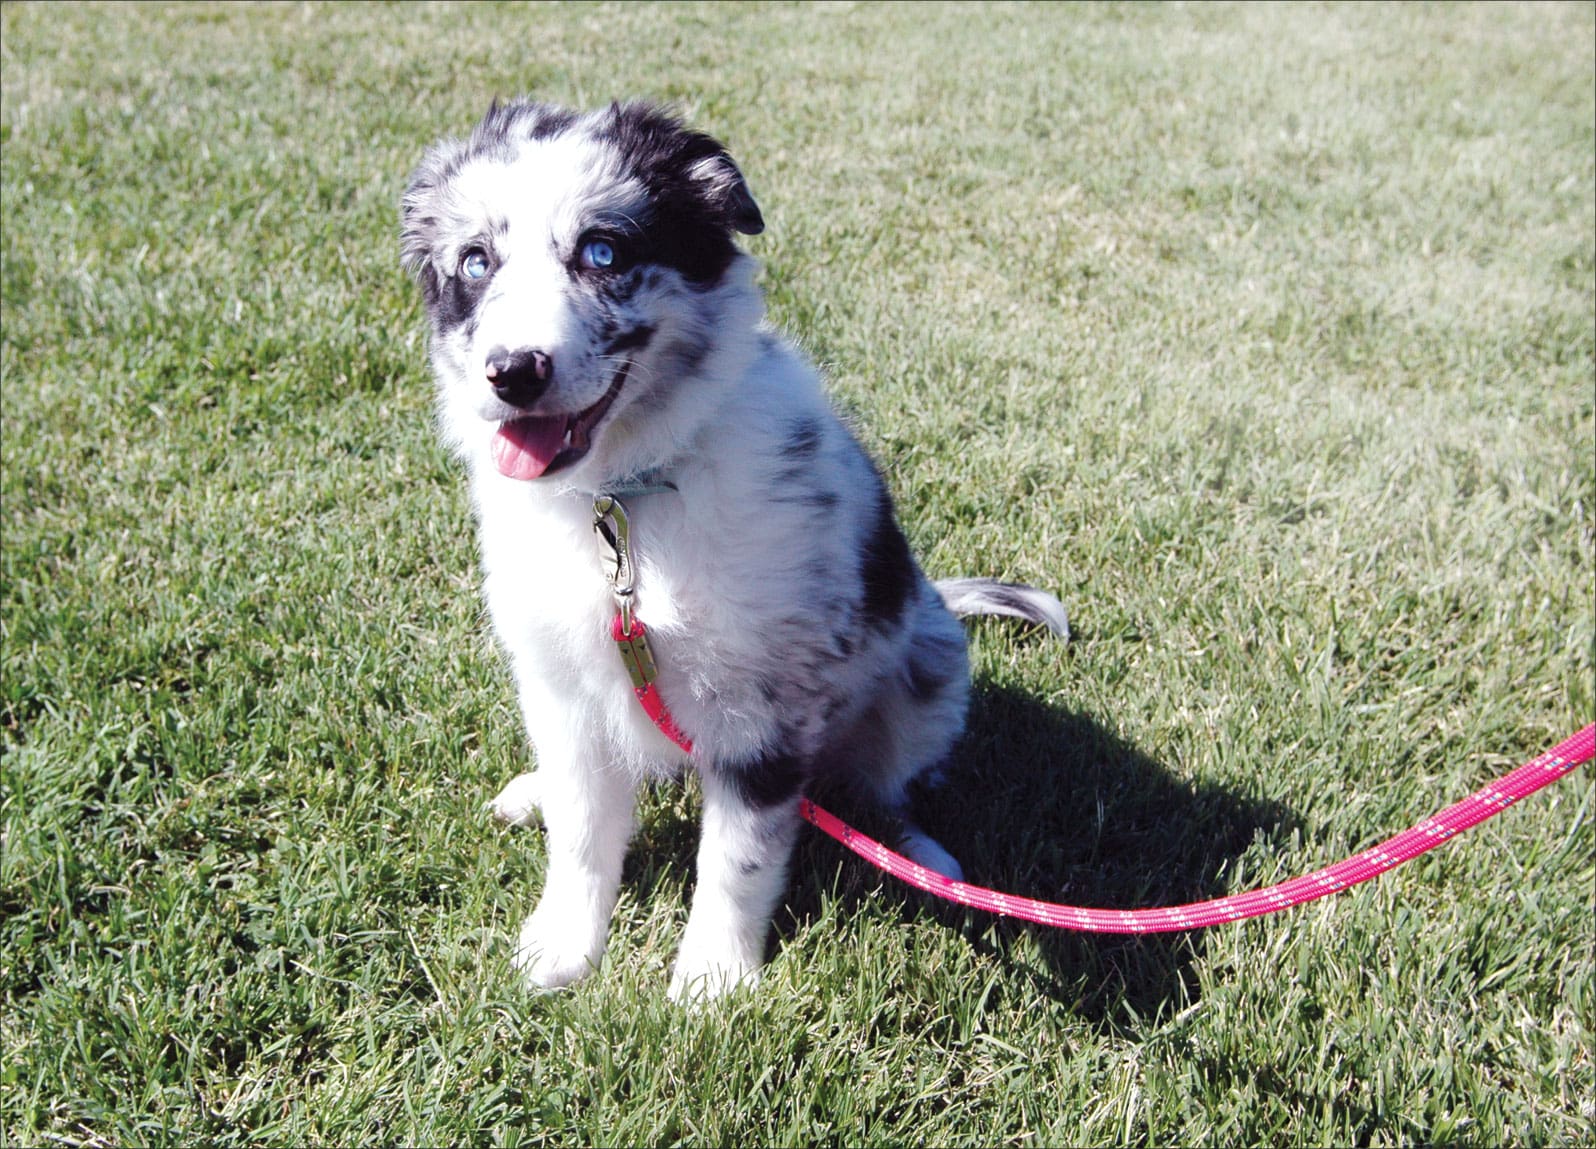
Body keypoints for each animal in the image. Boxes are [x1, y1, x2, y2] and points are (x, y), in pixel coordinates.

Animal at [405, 100, 1066, 995]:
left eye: (604, 252)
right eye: (475, 262)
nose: (513, 372)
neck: (627, 501)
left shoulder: (761, 706)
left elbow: (738, 856)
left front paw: (711, 983)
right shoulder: (560, 677)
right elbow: (580, 831)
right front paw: (563, 946)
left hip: (928, 669)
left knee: (882, 791)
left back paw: (924, 855)